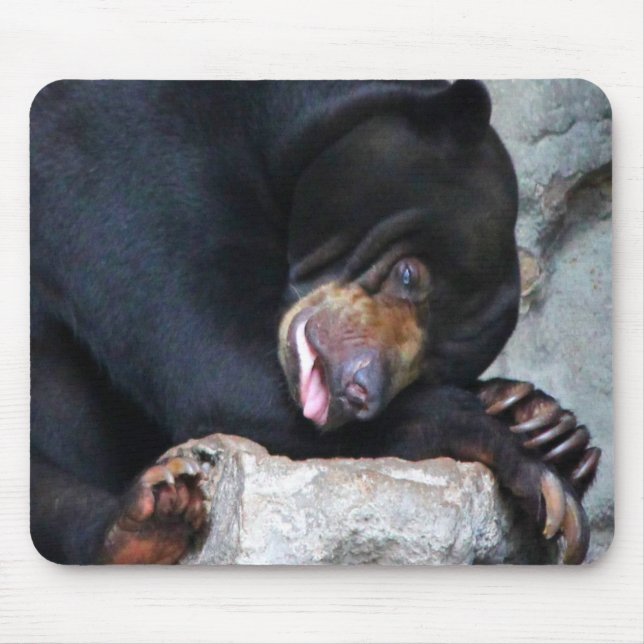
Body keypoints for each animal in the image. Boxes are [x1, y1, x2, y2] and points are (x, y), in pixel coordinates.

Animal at [30, 80, 599, 565]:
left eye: (435, 364)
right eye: (410, 274)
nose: (359, 390)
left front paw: (544, 421)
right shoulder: (120, 151)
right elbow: (213, 364)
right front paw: (532, 464)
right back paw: (147, 520)